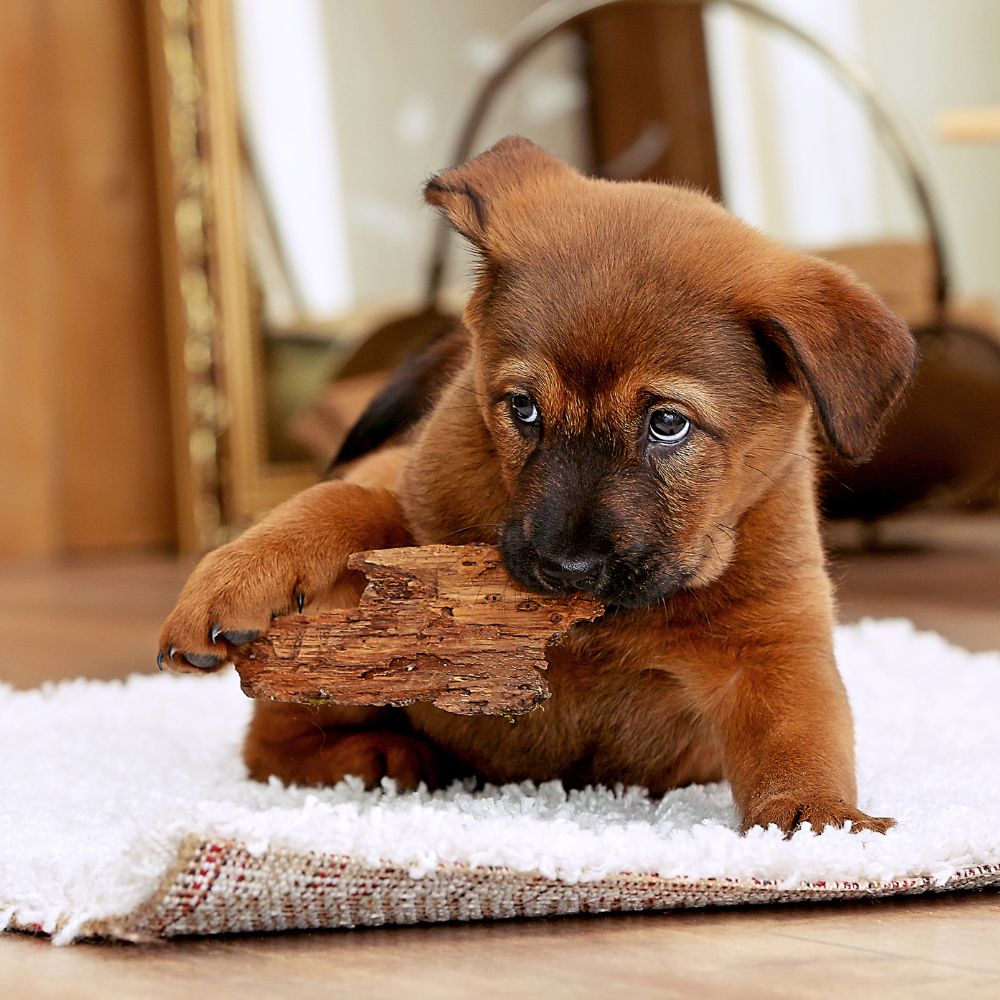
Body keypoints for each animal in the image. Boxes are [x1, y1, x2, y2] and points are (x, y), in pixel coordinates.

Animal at [159, 137, 917, 834]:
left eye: (668, 424)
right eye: (523, 408)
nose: (564, 569)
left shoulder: (774, 647)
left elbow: (800, 741)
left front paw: (818, 819)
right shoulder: (409, 522)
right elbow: (342, 501)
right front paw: (233, 578)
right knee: (269, 745)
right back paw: (382, 756)